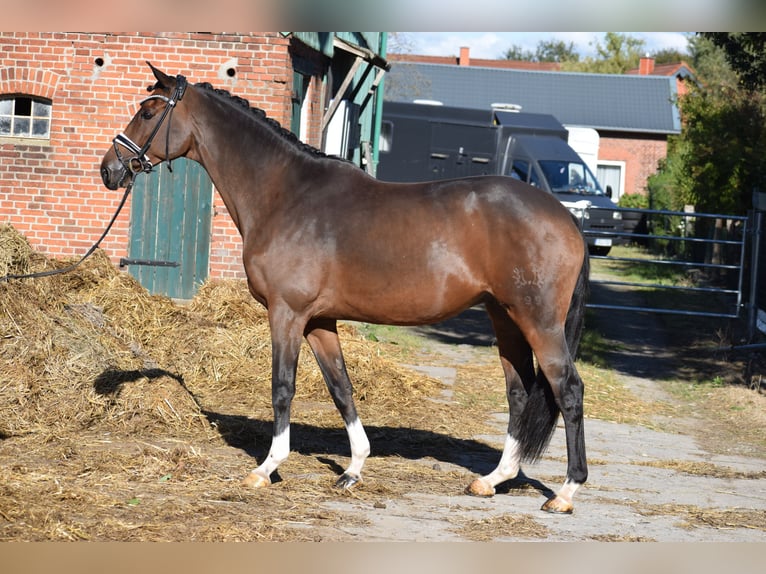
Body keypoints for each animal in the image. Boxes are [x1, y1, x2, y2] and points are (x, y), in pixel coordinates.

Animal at [100, 64, 592, 516]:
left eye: (147, 112)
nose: (110, 169)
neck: (285, 195)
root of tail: (566, 219)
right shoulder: (319, 321)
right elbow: (342, 388)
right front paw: (353, 469)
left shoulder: (287, 313)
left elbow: (283, 387)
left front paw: (267, 467)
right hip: (504, 318)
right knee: (519, 392)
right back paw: (492, 480)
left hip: (538, 322)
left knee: (567, 390)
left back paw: (566, 492)